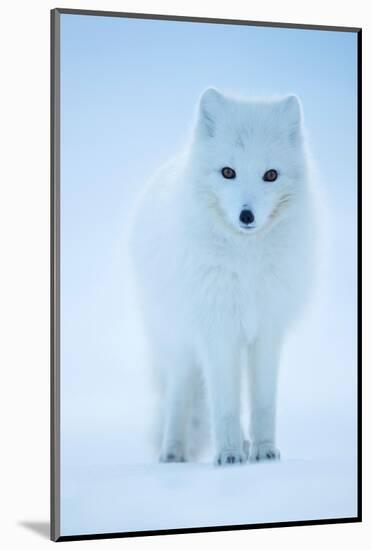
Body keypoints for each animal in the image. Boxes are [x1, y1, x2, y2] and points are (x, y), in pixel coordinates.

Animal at [129, 88, 316, 468]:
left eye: (270, 175)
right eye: (228, 172)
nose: (247, 215)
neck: (245, 262)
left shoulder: (267, 331)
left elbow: (262, 403)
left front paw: (264, 451)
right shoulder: (217, 332)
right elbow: (225, 406)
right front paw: (228, 454)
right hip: (180, 344)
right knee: (179, 397)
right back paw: (173, 452)